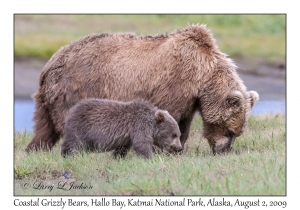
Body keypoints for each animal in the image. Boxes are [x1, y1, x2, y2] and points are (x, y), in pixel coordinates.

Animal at [25, 24, 258, 155]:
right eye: (229, 131)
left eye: (237, 132)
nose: (224, 151)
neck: (202, 76)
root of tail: (50, 63)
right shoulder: (174, 84)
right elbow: (167, 115)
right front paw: (164, 148)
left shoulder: (190, 99)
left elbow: (184, 123)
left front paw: (178, 147)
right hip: (77, 88)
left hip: (49, 99)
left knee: (45, 128)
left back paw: (34, 149)